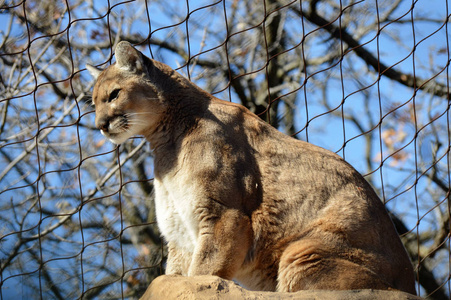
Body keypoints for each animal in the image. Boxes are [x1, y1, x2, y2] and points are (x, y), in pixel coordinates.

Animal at [87, 41, 416, 294]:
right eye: (93, 102)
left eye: (114, 94)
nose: (100, 125)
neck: (163, 140)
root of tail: (410, 284)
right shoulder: (178, 229)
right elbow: (177, 276)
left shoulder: (225, 215)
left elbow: (203, 273)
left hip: (301, 252)